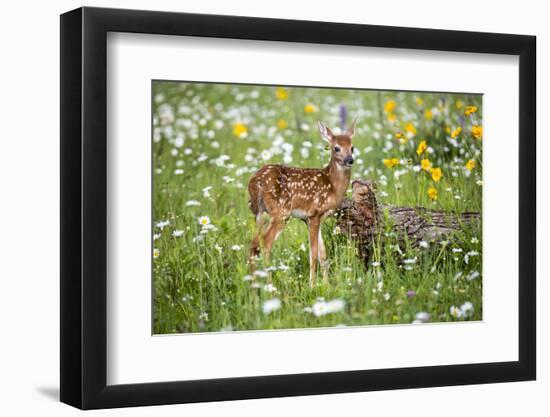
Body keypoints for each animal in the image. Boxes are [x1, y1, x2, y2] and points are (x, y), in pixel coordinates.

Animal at [247, 119, 358, 286]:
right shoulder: (314, 214)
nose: (349, 160)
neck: (332, 186)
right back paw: (270, 286)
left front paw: (326, 286)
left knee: (253, 245)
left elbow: (323, 254)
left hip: (260, 213)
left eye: (352, 147)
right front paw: (312, 285)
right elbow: (313, 255)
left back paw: (253, 284)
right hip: (280, 212)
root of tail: (256, 182)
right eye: (336, 148)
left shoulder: (311, 219)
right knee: (265, 245)